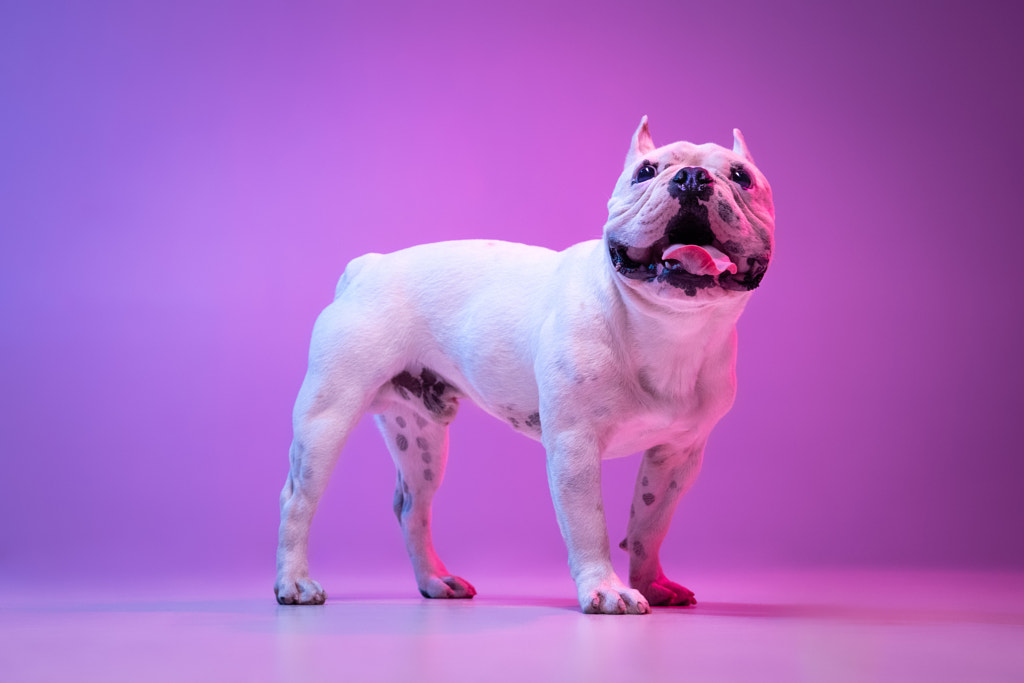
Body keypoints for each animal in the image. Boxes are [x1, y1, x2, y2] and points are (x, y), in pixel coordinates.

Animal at [276, 117, 770, 614]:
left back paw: (434, 581)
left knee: (412, 506)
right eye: (645, 172)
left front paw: (650, 583)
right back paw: (295, 583)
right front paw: (605, 589)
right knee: (298, 498)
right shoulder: (574, 445)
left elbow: (650, 525)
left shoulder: (677, 456)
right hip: (327, 418)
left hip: (419, 437)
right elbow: (590, 523)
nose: (692, 177)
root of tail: (367, 267)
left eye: (742, 176)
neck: (668, 327)